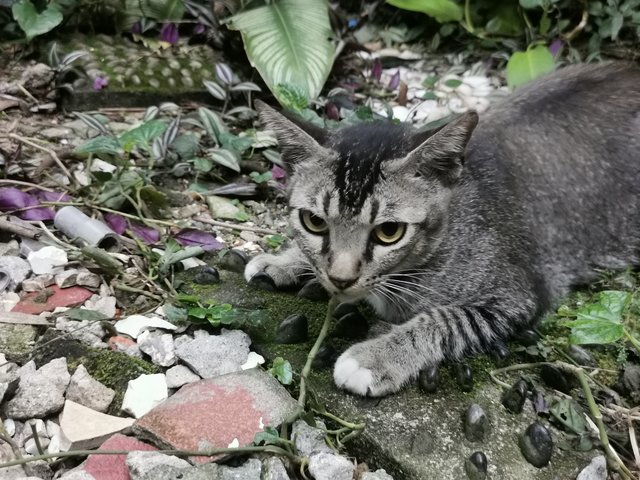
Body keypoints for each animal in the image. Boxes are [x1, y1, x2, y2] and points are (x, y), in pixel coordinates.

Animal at [245, 62, 640, 396]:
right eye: (314, 222)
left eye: (389, 231)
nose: (341, 279)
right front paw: (283, 260)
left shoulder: (519, 295)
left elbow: (445, 319)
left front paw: (375, 357)